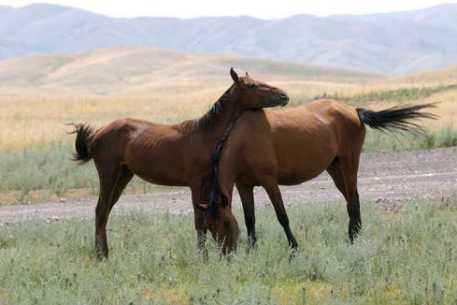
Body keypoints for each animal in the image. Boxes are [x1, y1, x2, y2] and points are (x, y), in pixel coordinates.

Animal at [69, 67, 286, 258]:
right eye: (252, 85)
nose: (283, 95)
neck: (205, 135)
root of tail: (98, 134)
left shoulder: (207, 184)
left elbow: (205, 220)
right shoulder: (196, 184)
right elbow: (199, 221)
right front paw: (202, 257)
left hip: (123, 175)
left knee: (105, 211)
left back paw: (104, 253)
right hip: (109, 174)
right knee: (100, 210)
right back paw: (101, 256)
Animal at [201, 98, 436, 251]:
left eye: (225, 223)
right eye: (209, 228)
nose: (226, 254)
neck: (244, 140)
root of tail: (354, 111)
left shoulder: (270, 182)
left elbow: (282, 215)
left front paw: (294, 248)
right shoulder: (244, 186)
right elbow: (250, 219)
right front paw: (253, 250)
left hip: (349, 163)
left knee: (353, 201)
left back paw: (352, 240)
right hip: (335, 168)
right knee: (353, 199)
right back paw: (355, 235)